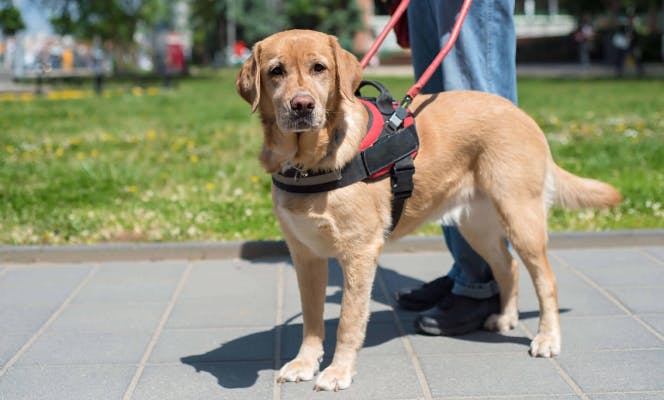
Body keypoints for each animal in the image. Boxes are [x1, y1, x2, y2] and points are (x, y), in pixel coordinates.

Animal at [235, 28, 624, 390]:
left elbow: (348, 320)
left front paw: (338, 371)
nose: (302, 105)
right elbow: (311, 318)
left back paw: (547, 338)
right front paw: (304, 363)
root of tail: (522, 114)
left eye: (319, 68)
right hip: (477, 226)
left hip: (521, 217)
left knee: (546, 279)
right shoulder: (305, 255)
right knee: (507, 266)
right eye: (276, 71)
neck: (308, 163)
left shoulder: (359, 253)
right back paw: (506, 318)